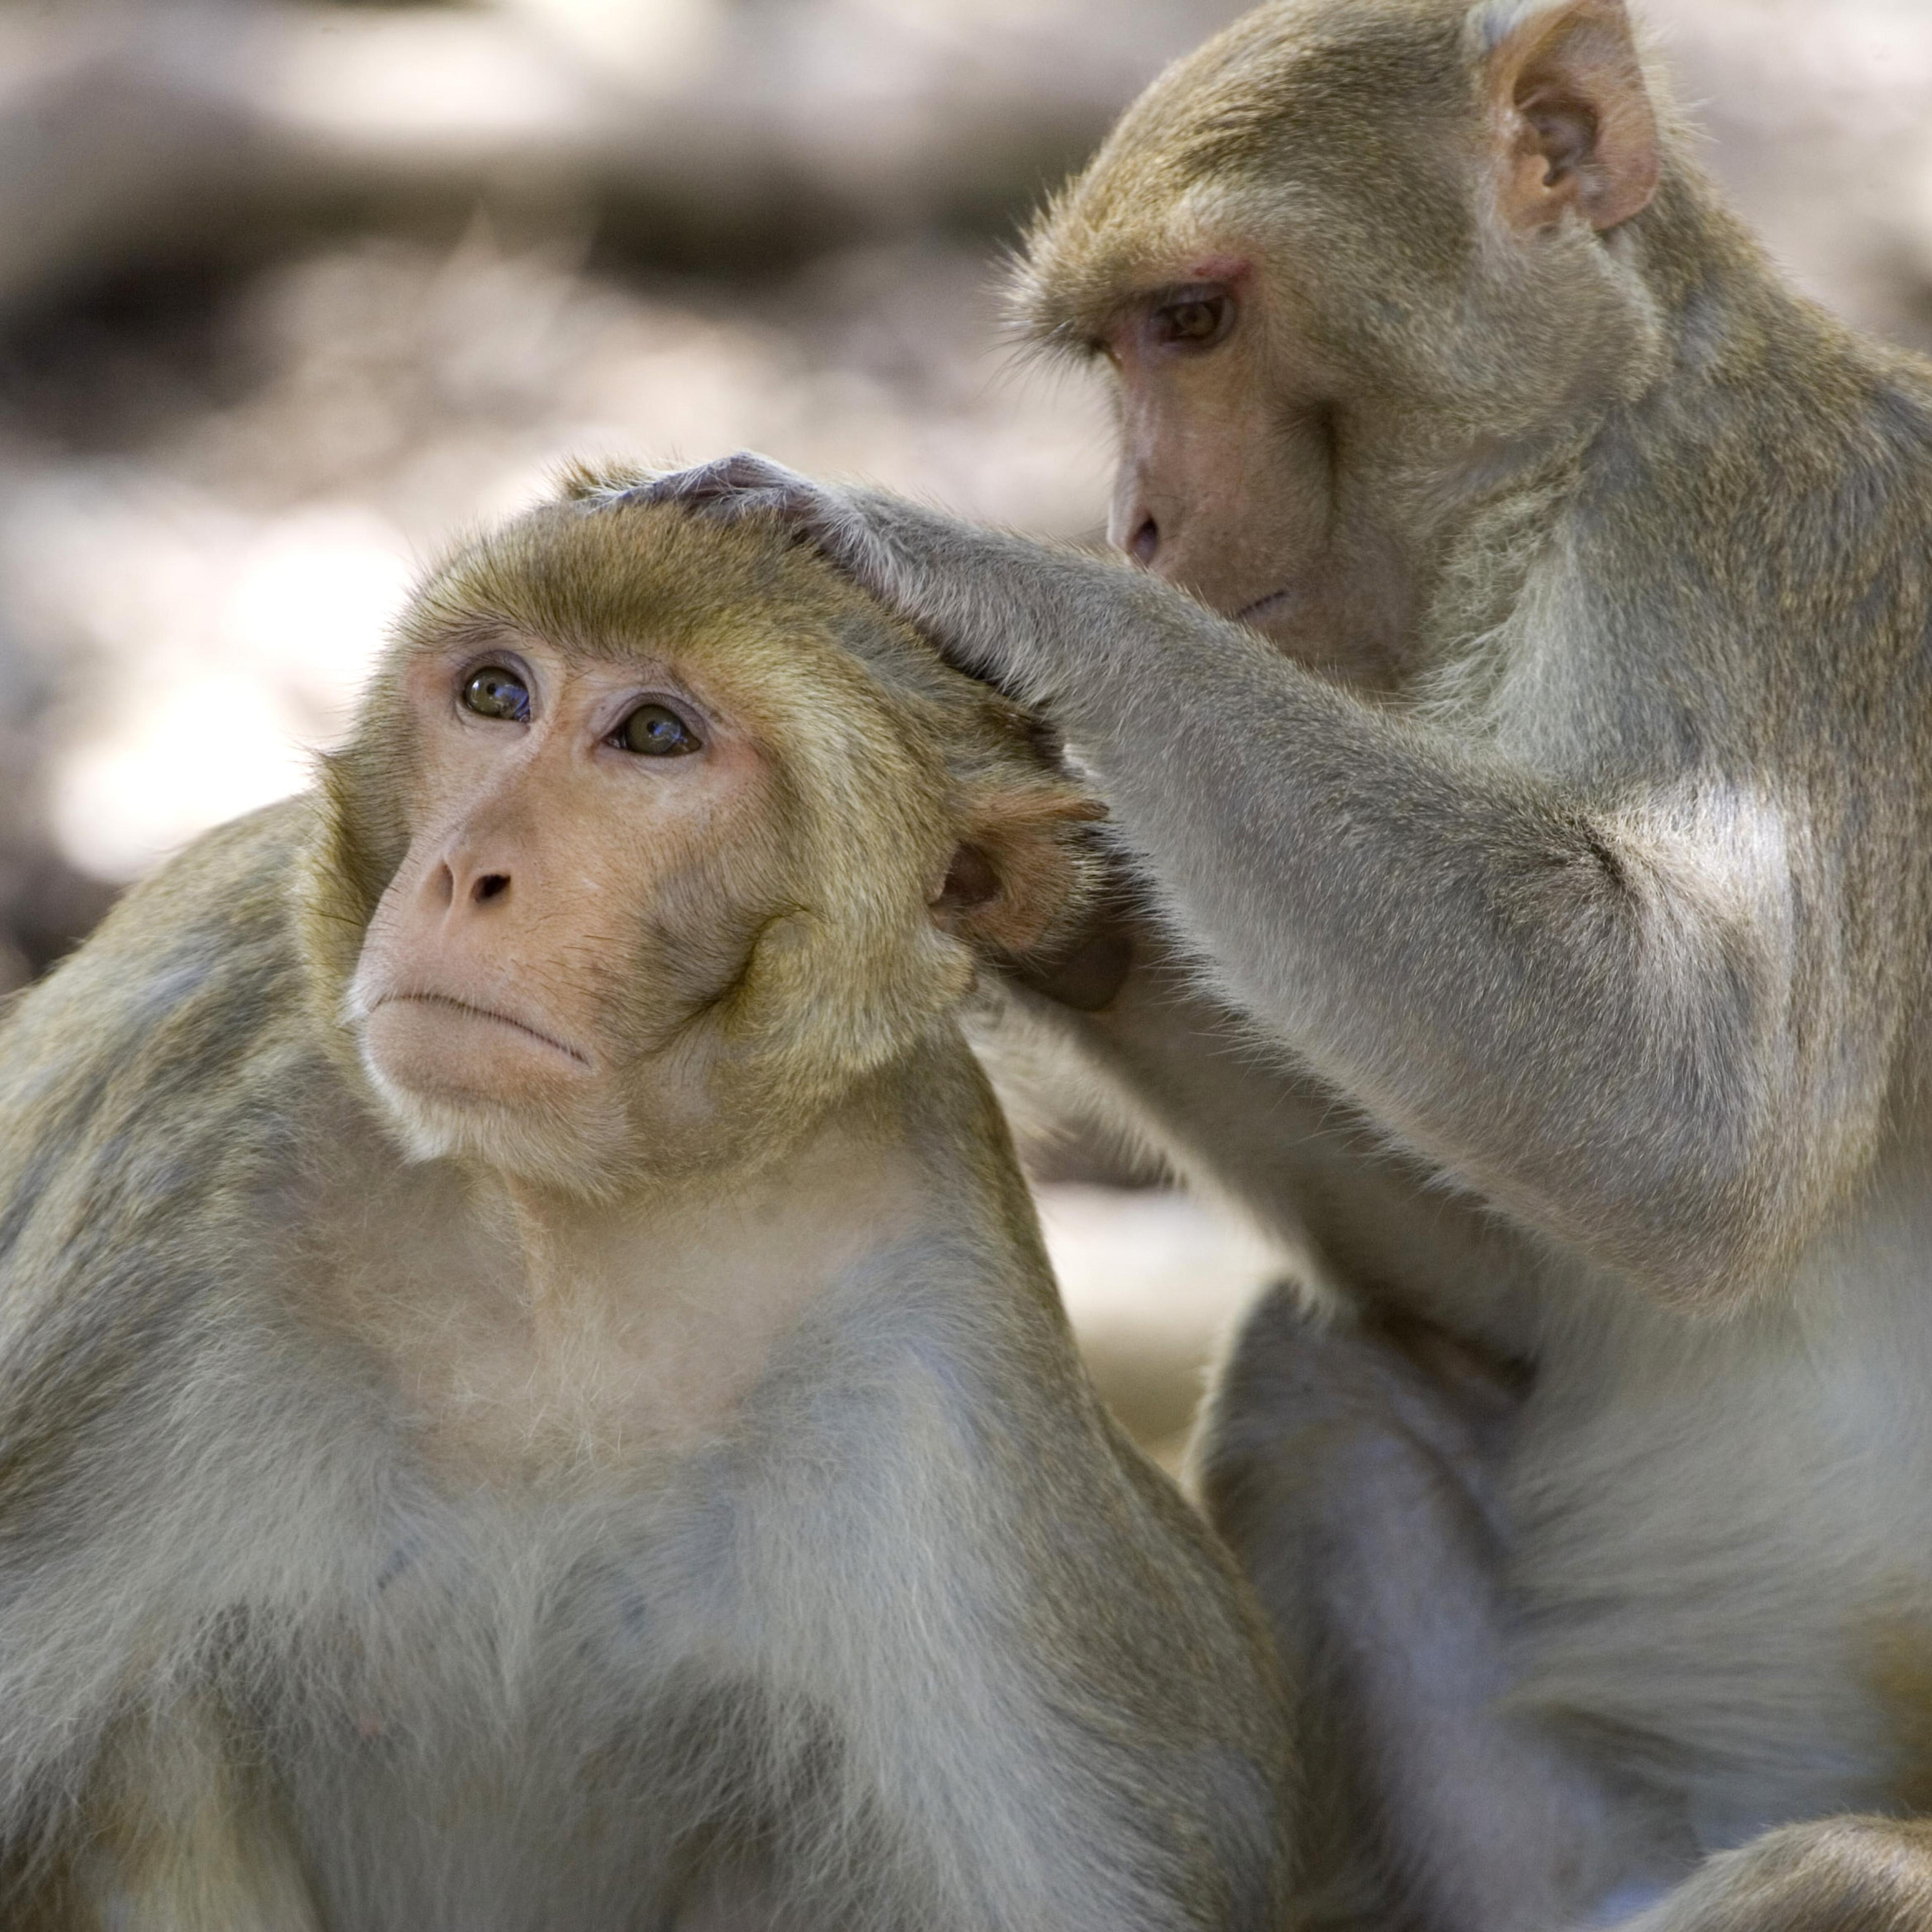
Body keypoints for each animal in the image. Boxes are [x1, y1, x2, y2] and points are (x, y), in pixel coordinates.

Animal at [0, 473, 1294, 1931]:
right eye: (496, 695)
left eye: (656, 734)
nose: (462, 871)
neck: (569, 1233)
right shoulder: (171, 1175)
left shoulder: (938, 1359)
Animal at [635, 0, 1932, 1925]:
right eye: (1124, 346)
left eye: (1192, 319)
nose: (1137, 520)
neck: (1569, 472)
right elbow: (1508, 1275)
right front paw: (1036, 893)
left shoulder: (1769, 556)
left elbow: (1696, 1113)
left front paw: (971, 577)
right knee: (1321, 1377)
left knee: (1852, 1870)